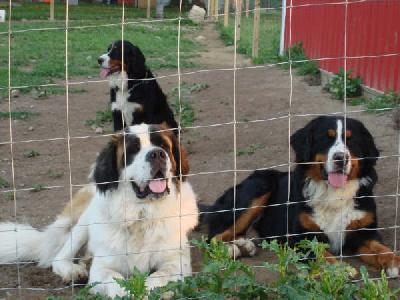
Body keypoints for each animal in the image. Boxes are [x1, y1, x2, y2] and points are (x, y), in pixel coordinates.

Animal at [0, 124, 199, 298]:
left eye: (164, 146)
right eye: (132, 150)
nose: (157, 154)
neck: (141, 215)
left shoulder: (177, 262)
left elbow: (158, 276)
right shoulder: (102, 267)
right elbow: (114, 279)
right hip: (84, 219)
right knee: (59, 257)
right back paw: (73, 271)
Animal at [200, 115, 400, 276]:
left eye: (351, 140)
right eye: (325, 139)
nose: (340, 158)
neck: (333, 193)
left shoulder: (364, 233)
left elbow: (382, 249)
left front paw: (395, 262)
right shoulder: (302, 236)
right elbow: (322, 253)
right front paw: (340, 269)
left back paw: (244, 245)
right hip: (260, 185)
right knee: (213, 236)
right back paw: (230, 249)